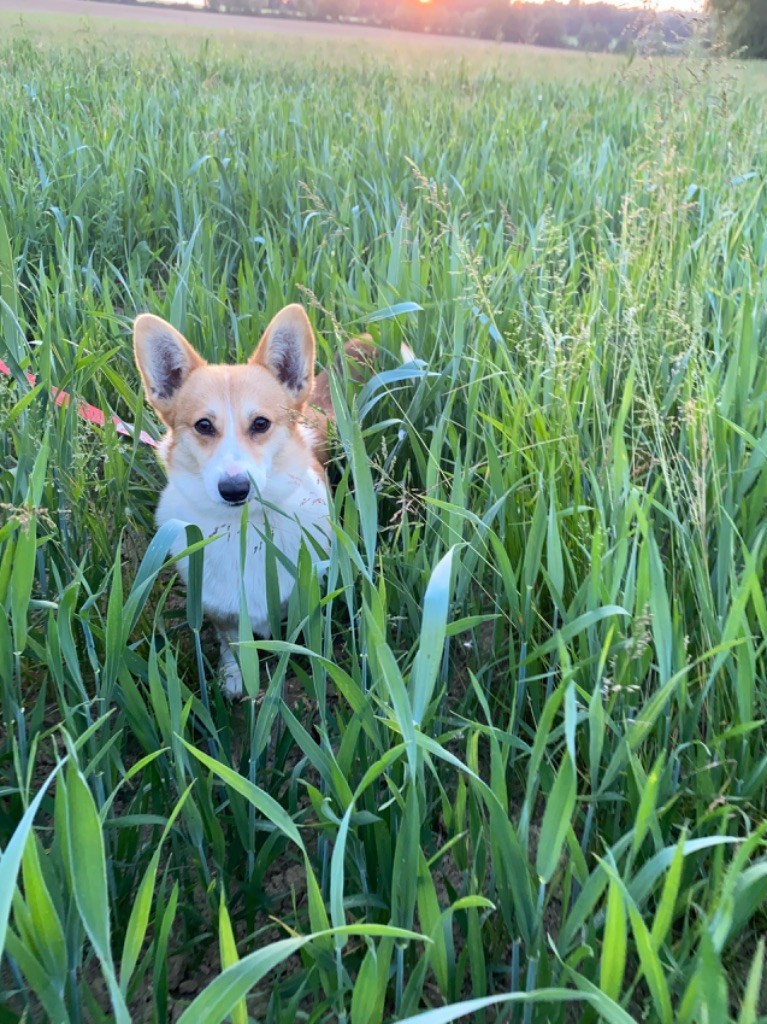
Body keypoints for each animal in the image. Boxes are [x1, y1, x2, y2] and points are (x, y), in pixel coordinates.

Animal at [134, 301, 374, 696]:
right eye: (203, 426)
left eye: (261, 424)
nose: (234, 489)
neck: (244, 528)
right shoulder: (218, 609)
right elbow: (231, 642)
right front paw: (233, 676)